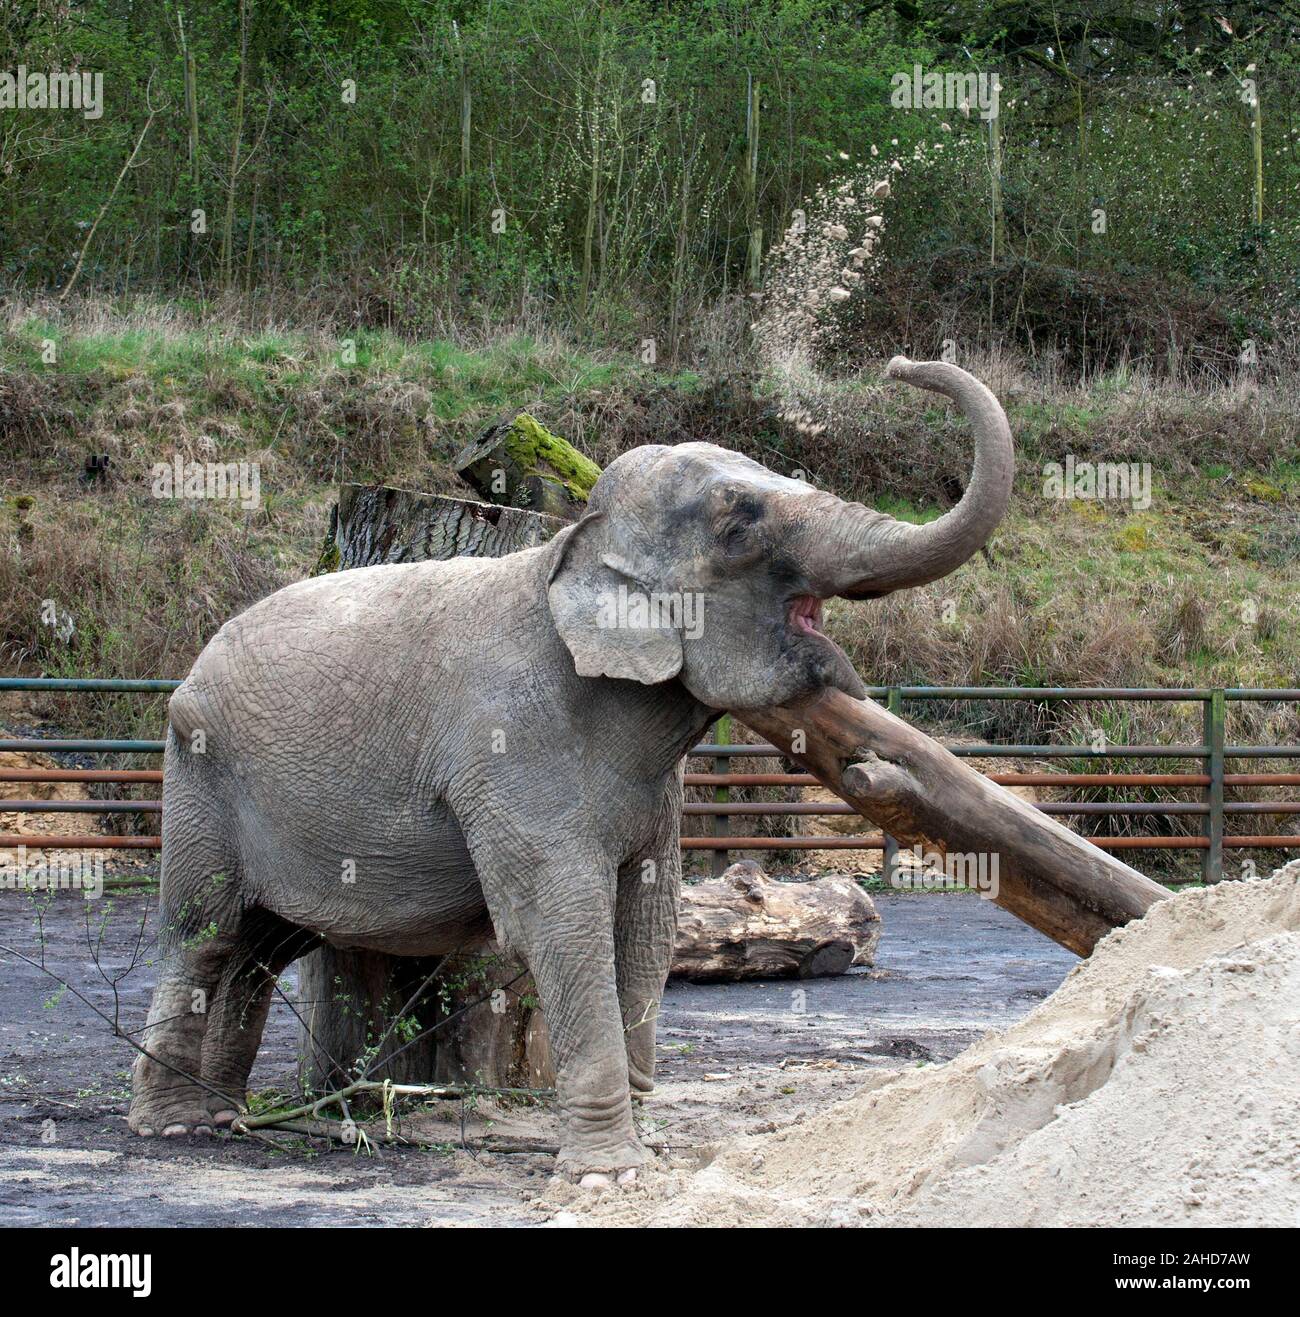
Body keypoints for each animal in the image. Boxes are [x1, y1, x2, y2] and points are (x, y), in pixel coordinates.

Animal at [127, 356, 1013, 1184]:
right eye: (739, 517)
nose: (900, 367)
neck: (567, 546)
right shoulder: (509, 750)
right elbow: (560, 918)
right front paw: (611, 1168)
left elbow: (649, 919)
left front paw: (641, 1134)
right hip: (199, 771)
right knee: (204, 934)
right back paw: (174, 1124)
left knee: (261, 950)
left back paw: (229, 1115)